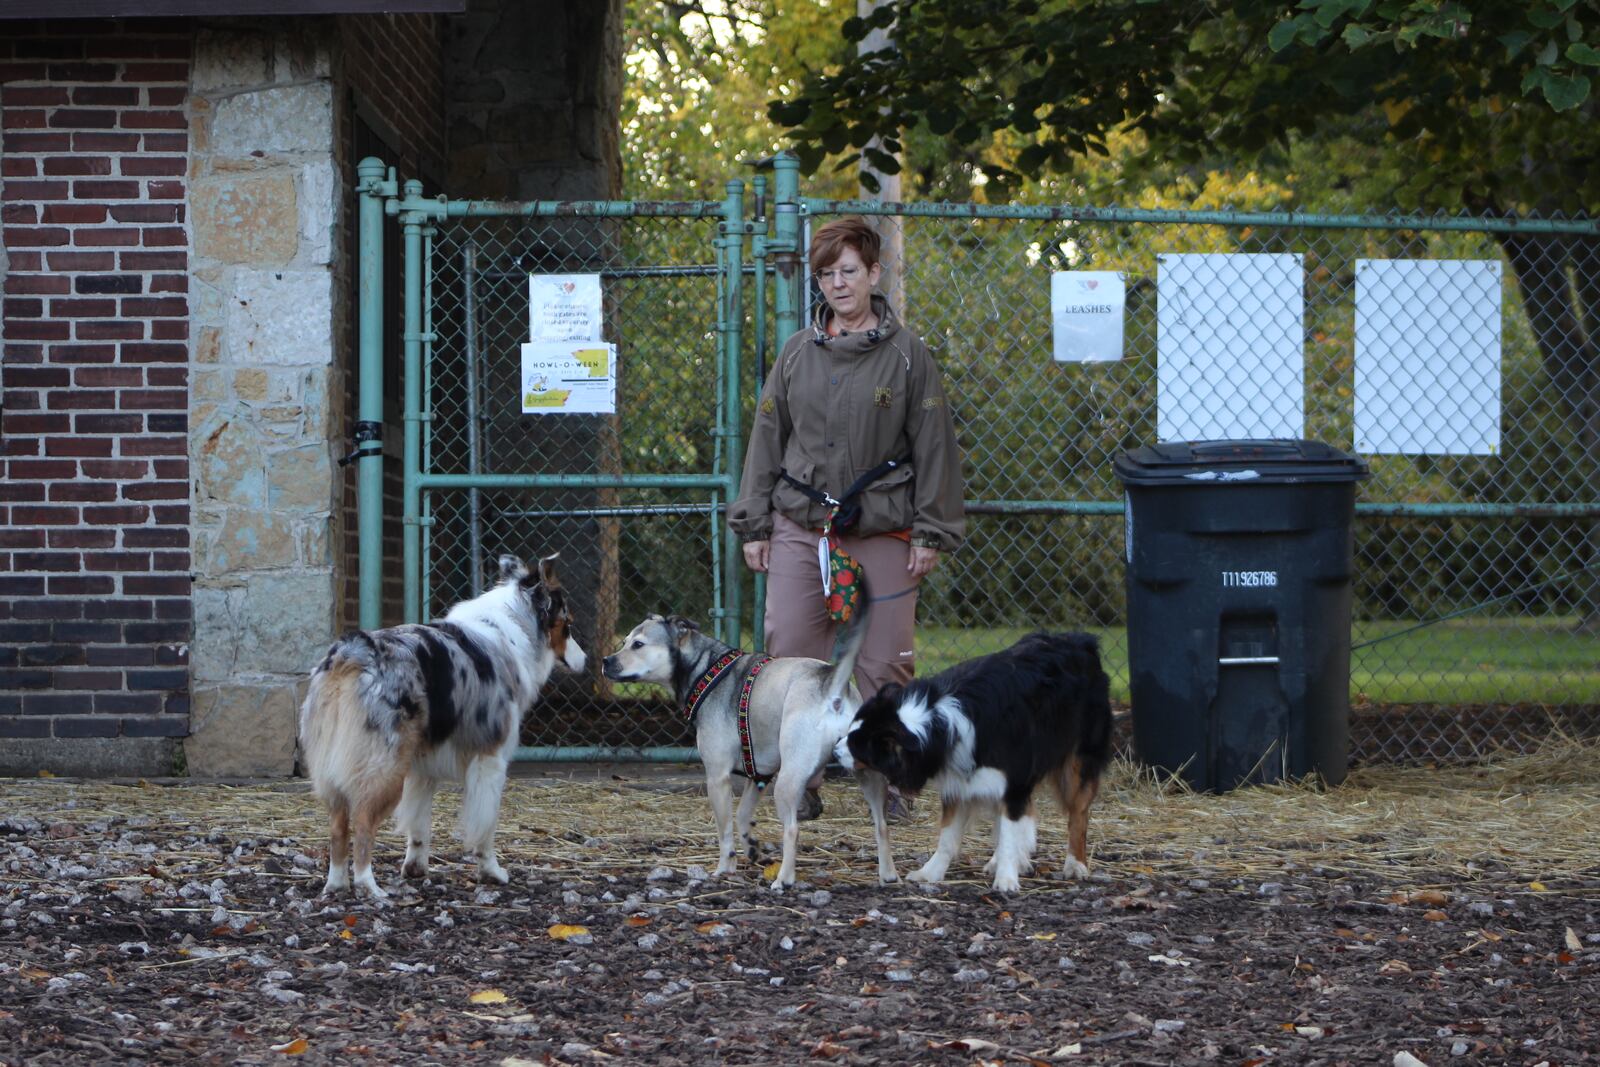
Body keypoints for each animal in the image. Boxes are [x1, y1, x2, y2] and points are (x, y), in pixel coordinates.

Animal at [297, 556, 585, 895]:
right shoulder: (490, 760)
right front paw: (491, 872)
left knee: (338, 827)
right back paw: (369, 886)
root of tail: (353, 652)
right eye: (568, 624)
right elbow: (485, 827)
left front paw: (415, 868)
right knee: (363, 821)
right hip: (384, 768)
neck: (515, 626)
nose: (586, 660)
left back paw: (337, 883)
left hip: (336, 767)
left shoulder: (424, 768)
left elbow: (419, 825)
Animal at [601, 588, 902, 889]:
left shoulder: (718, 777)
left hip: (789, 778)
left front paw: (725, 867)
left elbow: (725, 831)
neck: (705, 668)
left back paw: (784, 879)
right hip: (869, 774)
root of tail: (833, 683)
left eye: (638, 644)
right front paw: (751, 847)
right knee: (882, 825)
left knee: (792, 829)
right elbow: (743, 815)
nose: (606, 661)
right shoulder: (760, 774)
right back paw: (888, 874)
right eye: (624, 641)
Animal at [838, 633, 1113, 895]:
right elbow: (948, 837)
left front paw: (1006, 879)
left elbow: (1011, 831)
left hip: (1078, 760)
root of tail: (1081, 639)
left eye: (856, 745)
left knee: (1078, 814)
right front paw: (930, 873)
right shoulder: (960, 780)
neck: (939, 724)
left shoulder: (1014, 782)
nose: (835, 750)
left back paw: (1075, 864)